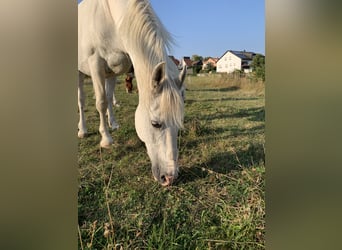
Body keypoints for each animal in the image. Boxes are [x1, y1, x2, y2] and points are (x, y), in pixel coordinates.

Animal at [77, 0, 186, 186]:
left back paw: (113, 123)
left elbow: (107, 98)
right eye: (155, 124)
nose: (170, 178)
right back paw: (82, 130)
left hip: (110, 74)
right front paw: (106, 140)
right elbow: (100, 102)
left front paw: (111, 125)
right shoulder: (95, 63)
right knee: (82, 101)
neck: (110, 14)